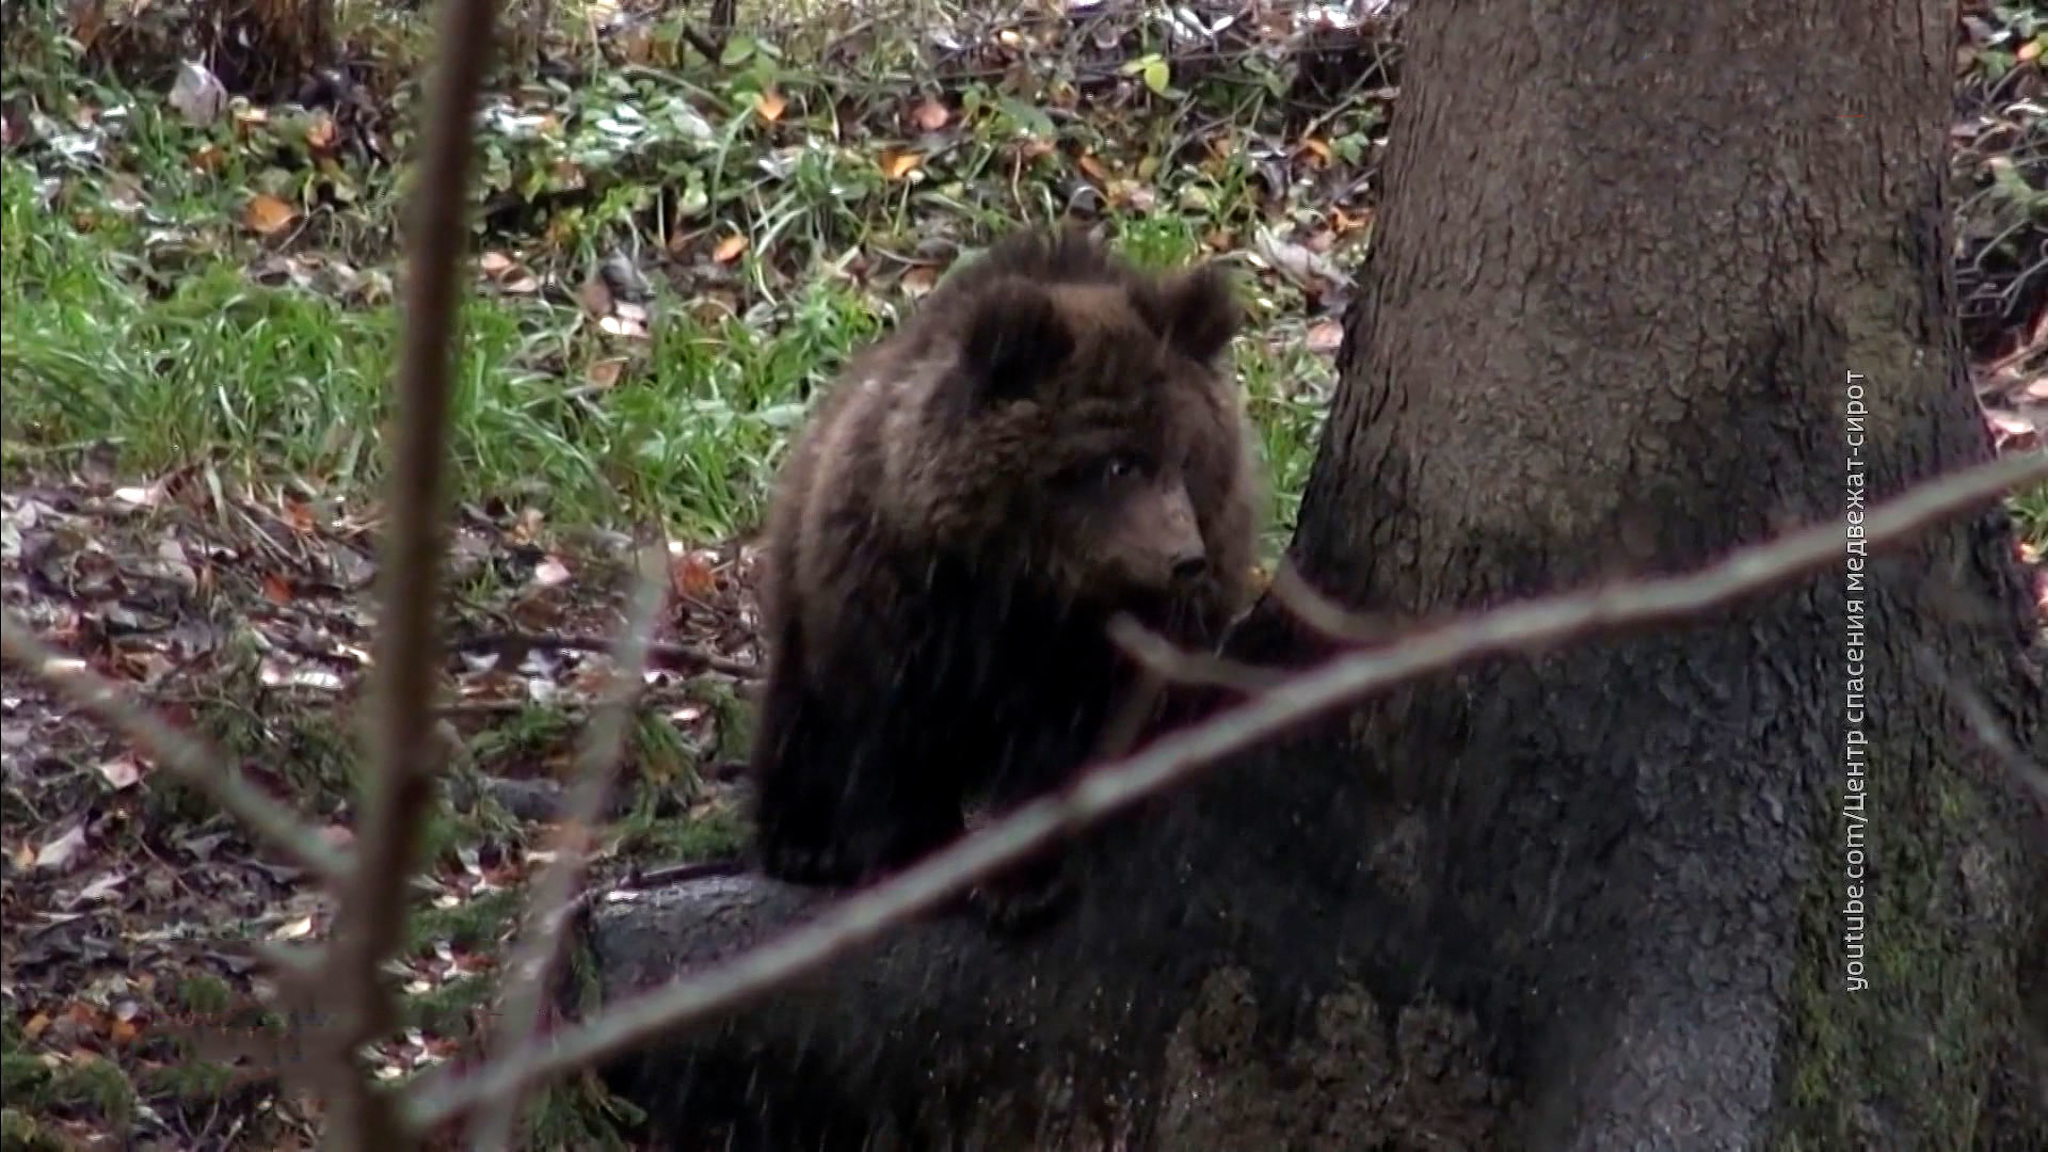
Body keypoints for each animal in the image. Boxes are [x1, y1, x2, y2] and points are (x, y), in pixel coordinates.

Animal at [744, 225, 1264, 912]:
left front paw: (1020, 882)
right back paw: (802, 840)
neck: (1033, 579)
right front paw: (908, 852)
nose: (1186, 560)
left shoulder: (1118, 646)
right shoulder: (902, 591)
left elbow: (1071, 743)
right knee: (801, 711)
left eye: (1187, 456)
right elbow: (892, 729)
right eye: (1118, 463)